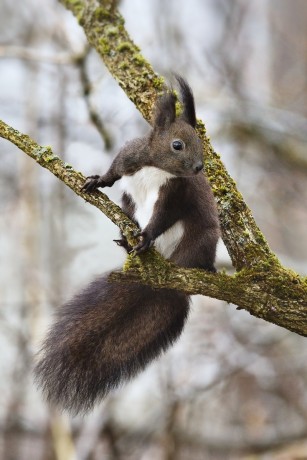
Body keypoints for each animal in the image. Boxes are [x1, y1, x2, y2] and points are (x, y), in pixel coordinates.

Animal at [35, 75, 220, 414]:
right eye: (177, 144)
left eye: (201, 144)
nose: (199, 168)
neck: (157, 167)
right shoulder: (128, 156)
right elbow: (113, 172)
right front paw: (96, 180)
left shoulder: (175, 193)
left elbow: (162, 218)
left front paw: (146, 236)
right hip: (128, 203)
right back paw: (125, 240)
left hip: (200, 240)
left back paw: (200, 266)